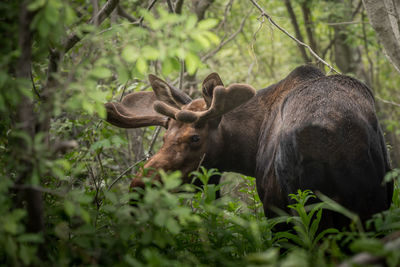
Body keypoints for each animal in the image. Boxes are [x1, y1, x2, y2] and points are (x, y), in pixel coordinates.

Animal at [105, 66, 394, 227]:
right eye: (164, 138)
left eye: (195, 138)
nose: (139, 185)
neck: (249, 149)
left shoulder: (274, 208)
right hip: (370, 207)